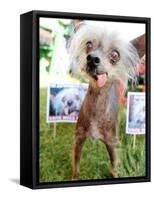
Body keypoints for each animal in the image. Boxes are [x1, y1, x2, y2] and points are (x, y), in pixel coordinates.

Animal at [69, 23, 139, 178]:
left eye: (115, 54)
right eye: (89, 44)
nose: (92, 59)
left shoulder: (112, 144)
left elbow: (114, 168)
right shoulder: (79, 138)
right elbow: (76, 166)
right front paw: (74, 177)